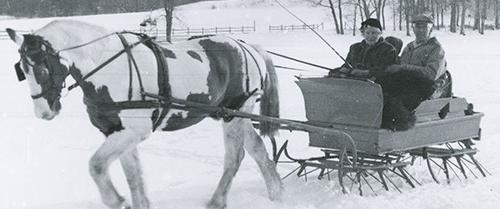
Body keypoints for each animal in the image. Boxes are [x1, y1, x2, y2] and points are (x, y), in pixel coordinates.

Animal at [6, 19, 282, 209]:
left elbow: (96, 165)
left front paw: (116, 200)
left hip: (234, 112)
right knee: (257, 149)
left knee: (235, 157)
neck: (108, 67)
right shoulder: (117, 131)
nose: (43, 112)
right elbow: (133, 176)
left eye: (42, 70)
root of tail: (247, 46)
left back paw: (217, 201)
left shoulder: (135, 131)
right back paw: (276, 192)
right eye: (22, 71)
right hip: (235, 115)